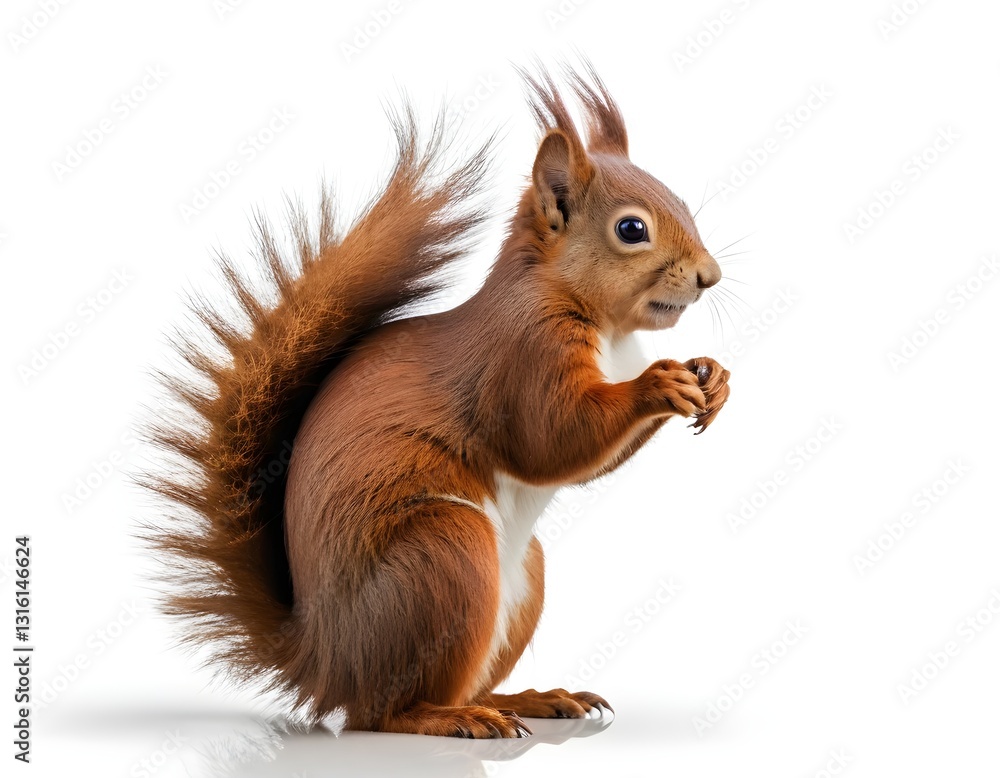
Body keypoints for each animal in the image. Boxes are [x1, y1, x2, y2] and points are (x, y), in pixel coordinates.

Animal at [145, 65, 731, 739]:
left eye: (680, 199)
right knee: (381, 713)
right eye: (632, 229)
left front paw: (714, 376)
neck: (607, 328)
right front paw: (658, 385)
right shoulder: (521, 355)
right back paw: (451, 718)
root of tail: (323, 662)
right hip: (445, 552)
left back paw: (527, 698)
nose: (710, 276)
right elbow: (550, 439)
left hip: (523, 575)